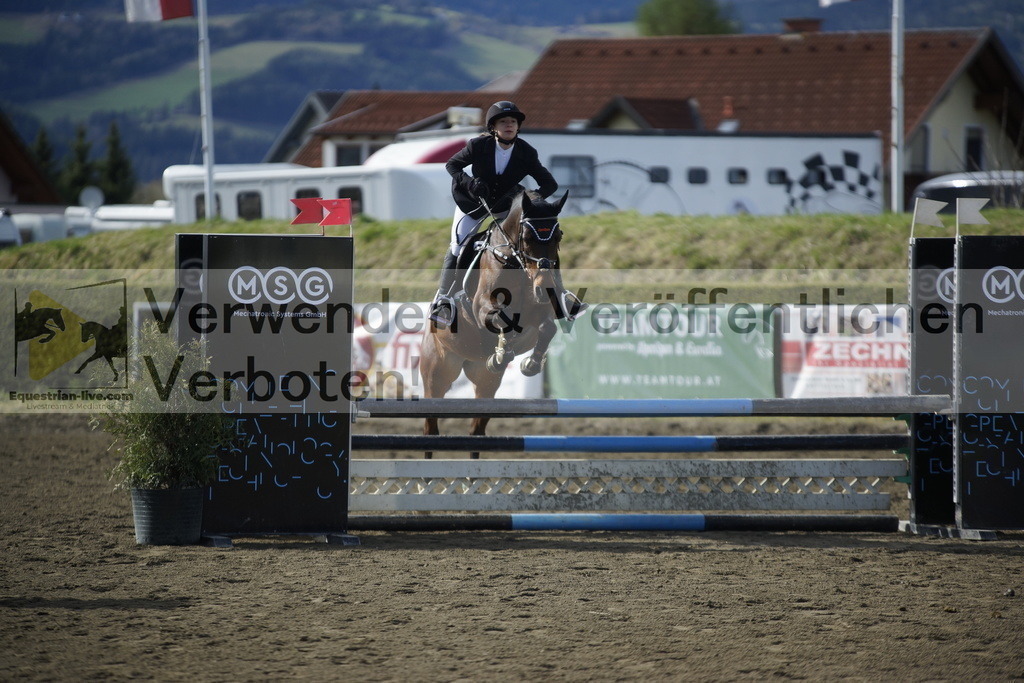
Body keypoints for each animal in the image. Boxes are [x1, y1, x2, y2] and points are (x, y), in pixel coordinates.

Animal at [419, 192, 573, 458]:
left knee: (476, 431)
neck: (514, 262)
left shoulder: (541, 311)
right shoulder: (482, 308)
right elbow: (502, 318)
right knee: (431, 428)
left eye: (558, 236)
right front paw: (502, 353)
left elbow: (547, 328)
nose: (543, 287)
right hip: (437, 375)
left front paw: (531, 363)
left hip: (486, 382)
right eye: (527, 238)